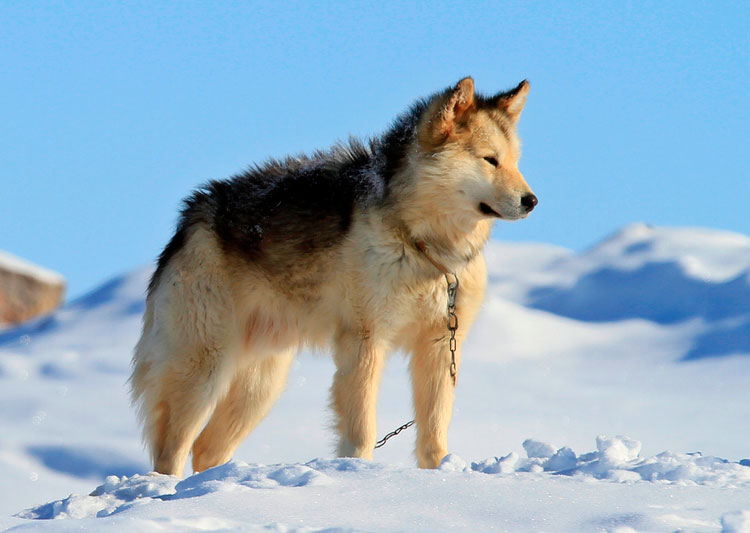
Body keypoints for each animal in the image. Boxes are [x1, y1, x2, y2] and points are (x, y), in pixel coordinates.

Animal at [131, 76, 540, 474]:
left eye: (515, 162)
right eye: (490, 160)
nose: (532, 201)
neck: (421, 243)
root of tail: (192, 215)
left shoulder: (439, 346)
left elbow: (434, 429)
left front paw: (438, 471)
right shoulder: (364, 342)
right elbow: (362, 427)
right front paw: (357, 472)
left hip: (262, 384)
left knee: (205, 450)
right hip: (204, 371)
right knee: (171, 451)